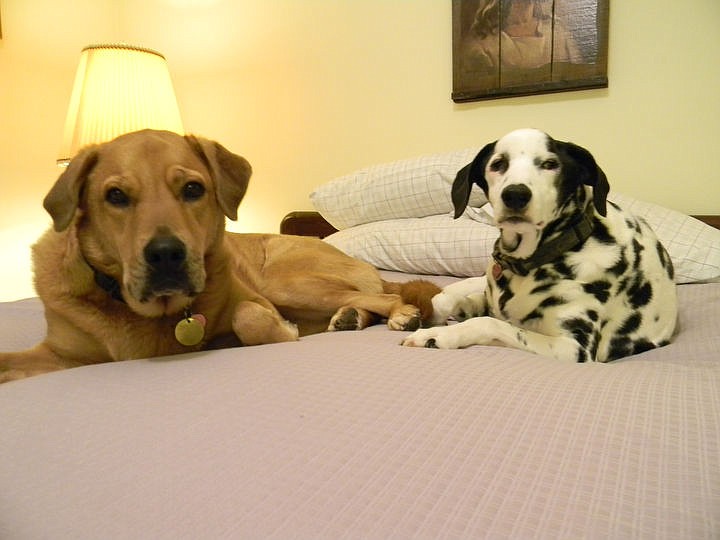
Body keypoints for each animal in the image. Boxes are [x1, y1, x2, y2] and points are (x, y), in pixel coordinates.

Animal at [0, 130, 438, 384]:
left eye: (193, 189)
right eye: (116, 196)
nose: (166, 255)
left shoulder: (253, 305)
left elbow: (248, 318)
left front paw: (282, 331)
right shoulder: (60, 355)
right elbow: (7, 362)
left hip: (286, 283)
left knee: (382, 295)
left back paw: (396, 313)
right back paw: (349, 318)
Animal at [402, 127, 676, 362]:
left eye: (550, 164)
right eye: (498, 164)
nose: (515, 194)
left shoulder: (573, 347)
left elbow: (491, 323)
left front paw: (439, 335)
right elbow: (449, 298)